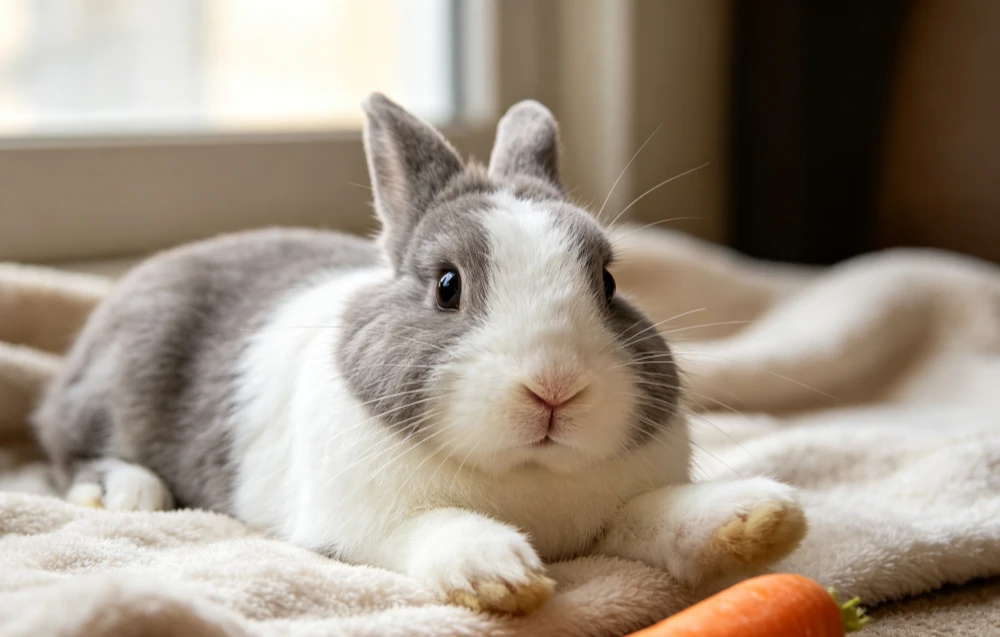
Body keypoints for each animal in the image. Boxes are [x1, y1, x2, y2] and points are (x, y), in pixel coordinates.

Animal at [32, 93, 807, 615]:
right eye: (447, 285)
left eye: (610, 282)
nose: (554, 388)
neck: (526, 472)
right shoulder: (362, 524)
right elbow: (431, 527)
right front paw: (499, 573)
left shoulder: (616, 514)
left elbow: (657, 514)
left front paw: (764, 518)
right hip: (117, 386)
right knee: (67, 448)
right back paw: (125, 490)